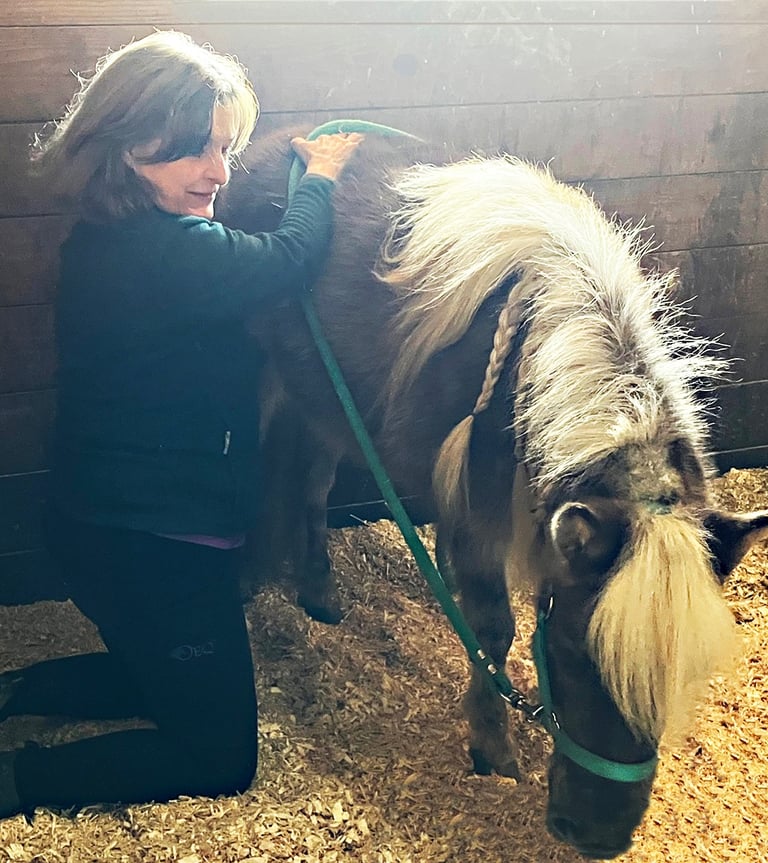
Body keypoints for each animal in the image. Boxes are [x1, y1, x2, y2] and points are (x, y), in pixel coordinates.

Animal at [218, 128, 768, 860]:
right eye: (571, 653)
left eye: (681, 675)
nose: (599, 836)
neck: (530, 367)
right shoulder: (471, 520)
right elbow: (492, 626)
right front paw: (491, 745)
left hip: (332, 399)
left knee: (312, 482)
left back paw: (319, 593)